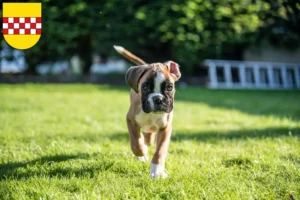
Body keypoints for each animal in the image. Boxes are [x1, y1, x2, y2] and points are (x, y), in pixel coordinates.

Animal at [114, 45, 180, 178]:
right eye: (145, 87)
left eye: (169, 87)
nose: (158, 99)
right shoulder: (130, 120)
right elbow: (136, 144)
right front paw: (142, 153)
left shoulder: (165, 128)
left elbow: (160, 151)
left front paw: (157, 172)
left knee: (149, 136)